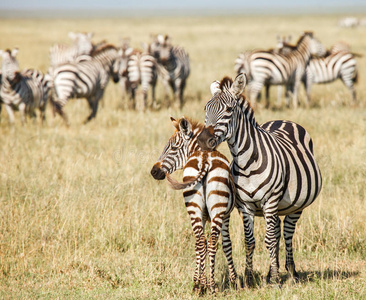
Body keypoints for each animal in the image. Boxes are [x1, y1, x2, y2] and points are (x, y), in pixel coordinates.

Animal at [149, 116, 237, 294]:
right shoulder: (226, 215)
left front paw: (200, 281)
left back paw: (198, 286)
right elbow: (226, 245)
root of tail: (204, 160)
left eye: (173, 147)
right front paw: (234, 281)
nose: (153, 171)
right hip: (216, 209)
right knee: (211, 242)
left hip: (194, 206)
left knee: (200, 241)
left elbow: (201, 245)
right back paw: (212, 286)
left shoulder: (205, 215)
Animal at [197, 74, 324, 284]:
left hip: (296, 205)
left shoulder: (270, 201)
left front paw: (275, 280)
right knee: (279, 230)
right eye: (206, 109)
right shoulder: (245, 206)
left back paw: (291, 271)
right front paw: (250, 277)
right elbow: (250, 241)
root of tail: (282, 120)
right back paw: (275, 270)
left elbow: (270, 240)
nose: (201, 141)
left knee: (287, 233)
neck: (247, 164)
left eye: (229, 110)